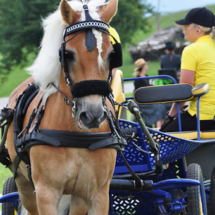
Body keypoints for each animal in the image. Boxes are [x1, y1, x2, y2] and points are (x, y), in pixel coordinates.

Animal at [5, 0, 122, 214]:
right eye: (68, 54)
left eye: (112, 54)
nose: (92, 115)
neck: (76, 134)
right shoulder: (46, 193)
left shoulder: (97, 194)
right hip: (23, 185)